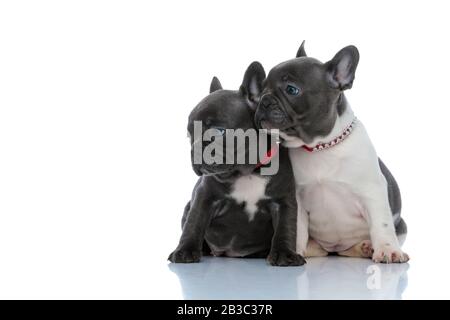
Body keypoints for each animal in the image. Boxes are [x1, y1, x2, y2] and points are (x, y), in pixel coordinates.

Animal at [169, 61, 306, 266]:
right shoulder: (204, 197)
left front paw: (285, 253)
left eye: (218, 132)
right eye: (189, 134)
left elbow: (286, 227)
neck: (247, 172)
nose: (196, 149)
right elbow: (194, 223)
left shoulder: (283, 201)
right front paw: (184, 251)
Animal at [256, 42, 408, 262]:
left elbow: (382, 224)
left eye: (291, 89)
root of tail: (334, 248)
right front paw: (294, 251)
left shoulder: (373, 192)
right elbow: (297, 229)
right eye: (261, 90)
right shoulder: (297, 199)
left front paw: (388, 250)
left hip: (401, 225)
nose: (263, 100)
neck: (321, 146)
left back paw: (367, 246)